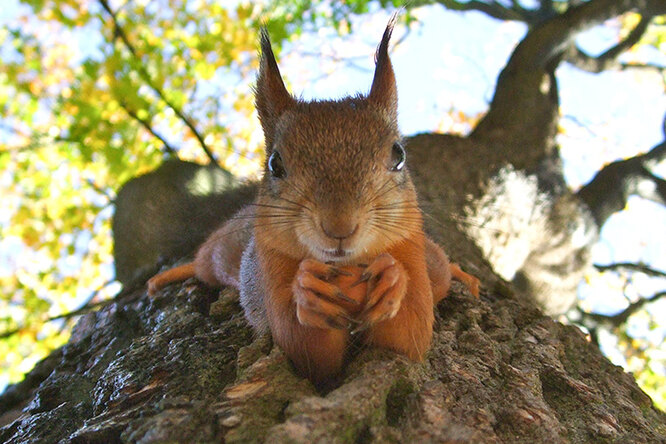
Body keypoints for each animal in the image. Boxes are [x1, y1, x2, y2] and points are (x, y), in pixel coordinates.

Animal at [147, 20, 478, 386]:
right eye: (275, 164)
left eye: (399, 155)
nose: (339, 227)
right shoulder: (271, 267)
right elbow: (305, 349)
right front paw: (308, 291)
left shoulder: (410, 250)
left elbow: (409, 336)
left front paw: (392, 278)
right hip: (222, 253)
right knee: (203, 263)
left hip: (432, 261)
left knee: (442, 268)